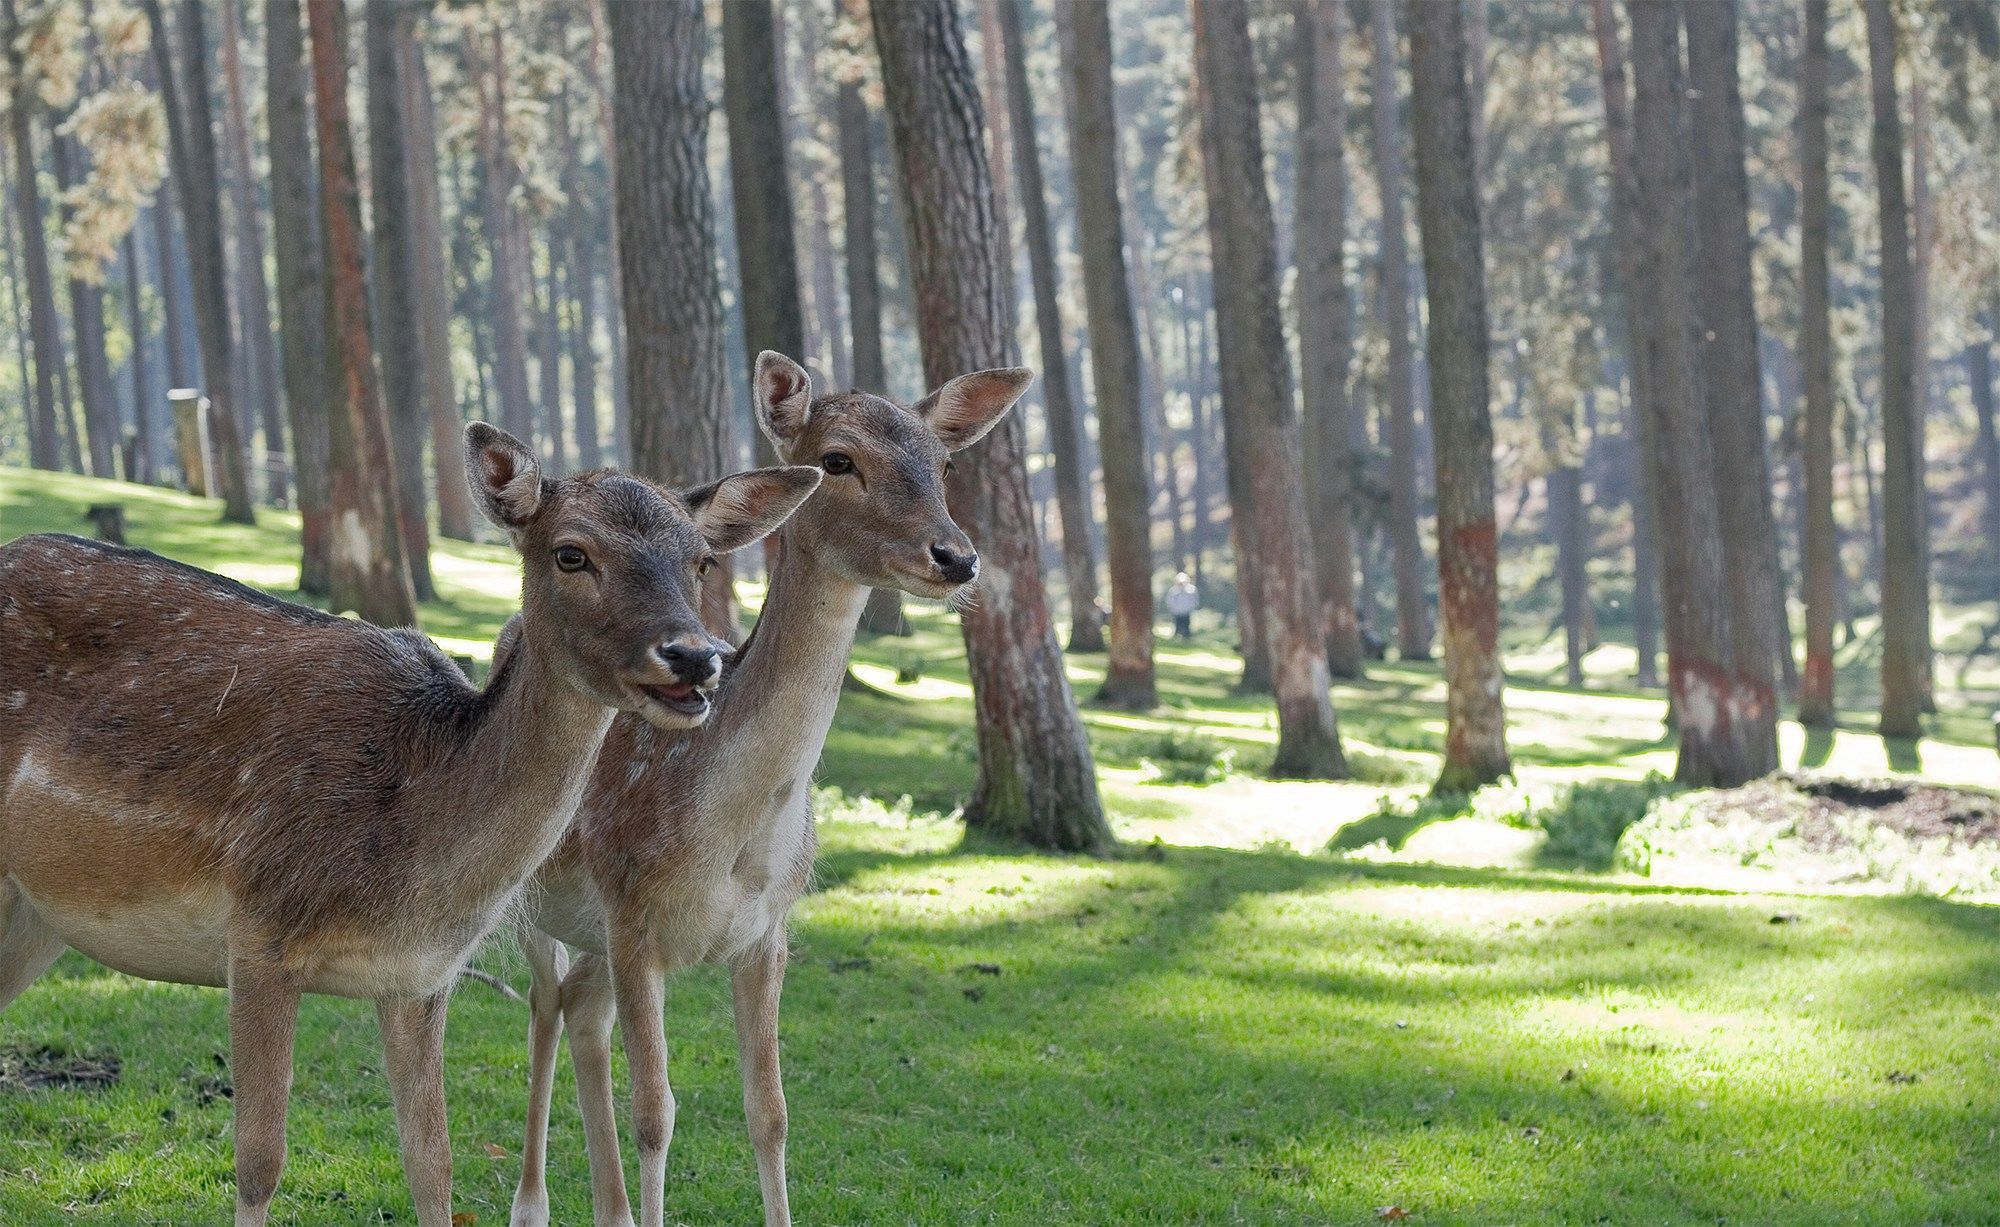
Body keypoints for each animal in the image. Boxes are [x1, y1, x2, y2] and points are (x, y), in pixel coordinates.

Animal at [0, 425, 820, 1227]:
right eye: (571, 552)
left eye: (702, 559)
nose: (693, 656)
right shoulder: (258, 930)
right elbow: (260, 1163)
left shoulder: (420, 977)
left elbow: (434, 1170)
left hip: (35, 913)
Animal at [512, 353, 1032, 1227]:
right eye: (837, 460)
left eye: (946, 464)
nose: (957, 556)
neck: (733, 837)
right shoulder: (632, 911)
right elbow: (657, 1112)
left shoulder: (769, 930)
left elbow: (773, 1112)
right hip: (525, 892)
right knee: (545, 1006)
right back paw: (530, 1203)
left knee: (581, 1009)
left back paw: (609, 1209)